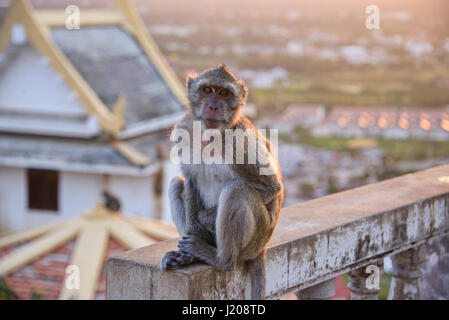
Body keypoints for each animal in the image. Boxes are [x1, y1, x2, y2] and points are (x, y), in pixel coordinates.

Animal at [159, 65, 282, 300]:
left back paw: (221, 259)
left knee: (237, 189)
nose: (213, 106)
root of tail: (262, 247)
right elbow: (190, 181)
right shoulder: (185, 129)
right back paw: (191, 254)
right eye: (207, 90)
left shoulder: (242, 141)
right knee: (176, 184)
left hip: (256, 238)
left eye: (224, 93)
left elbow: (272, 187)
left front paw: (203, 219)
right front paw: (192, 233)